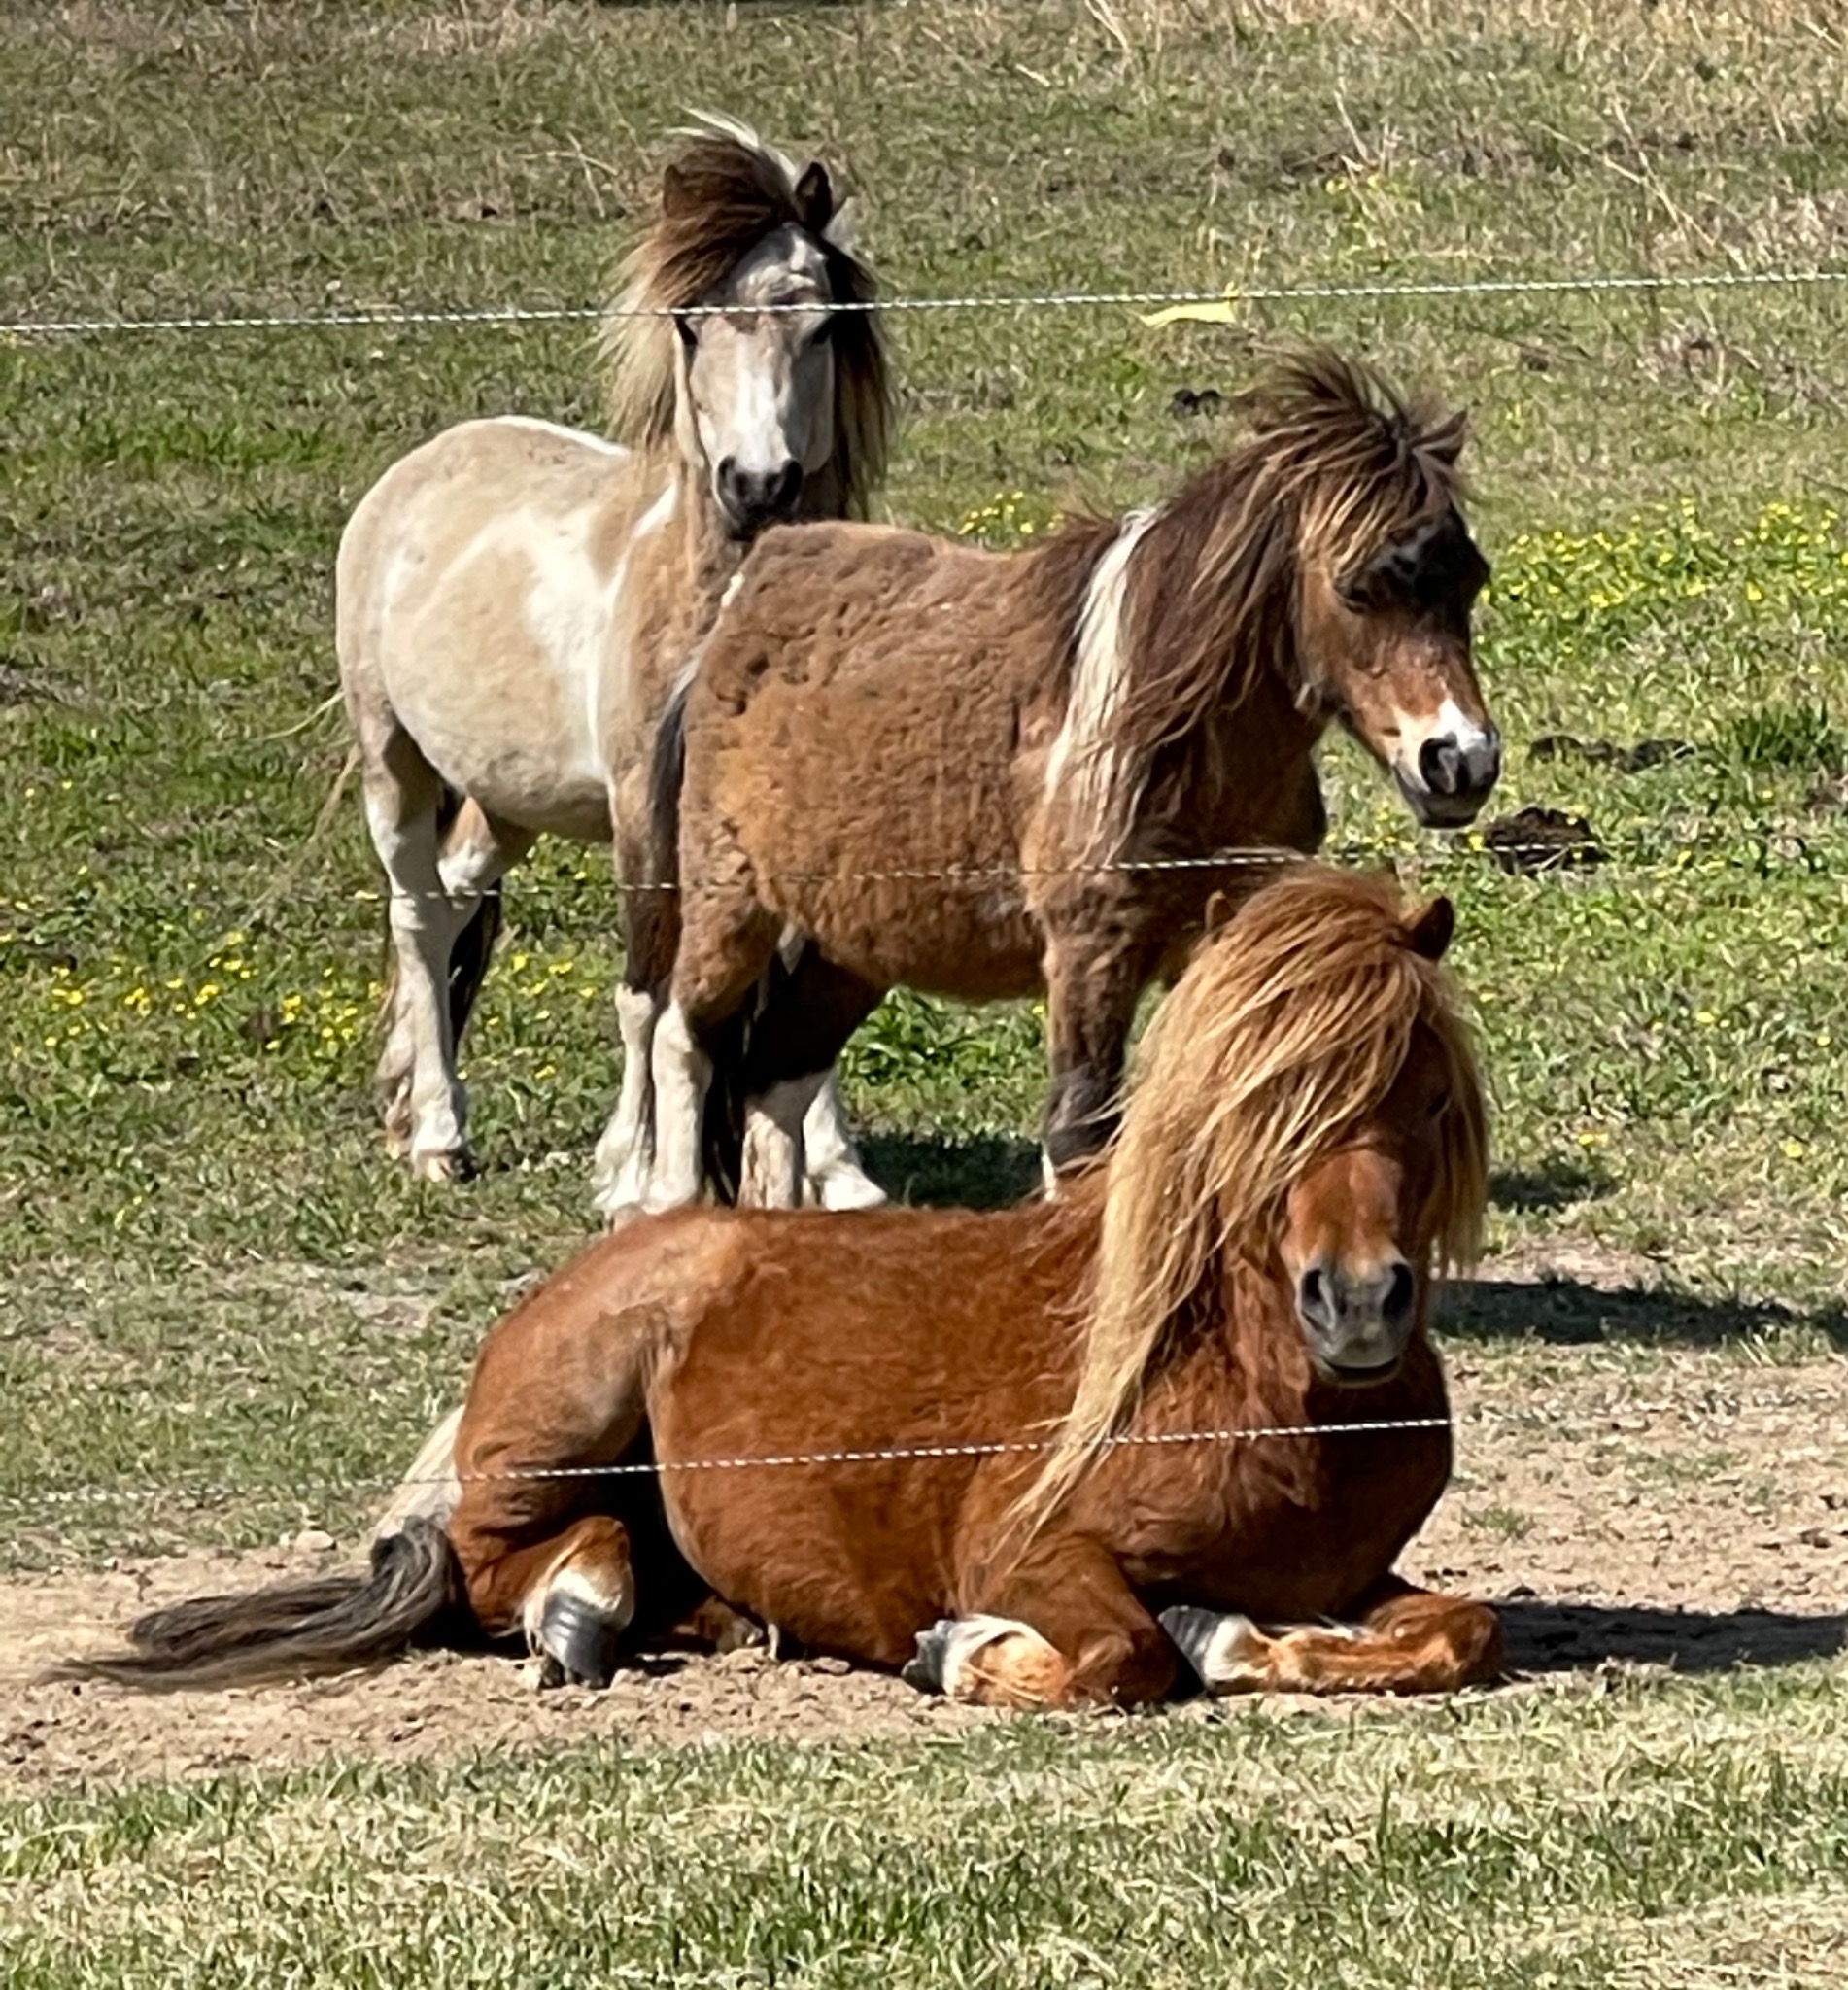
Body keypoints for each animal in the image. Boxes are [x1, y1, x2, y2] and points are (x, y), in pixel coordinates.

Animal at [59, 865, 1503, 1708]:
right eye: (1260, 1106)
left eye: (1420, 1087)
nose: (1357, 1304)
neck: (1262, 1403)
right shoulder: (1027, 1549)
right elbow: (1121, 1656)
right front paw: (962, 1650)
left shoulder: (1359, 1573)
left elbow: (1459, 1627)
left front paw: (1224, 1631)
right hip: (565, 1422)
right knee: (481, 1562)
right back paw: (578, 1612)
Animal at [336, 114, 893, 1211]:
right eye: (691, 325)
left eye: (820, 326)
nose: (757, 485)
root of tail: (418, 470)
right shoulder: (647, 809)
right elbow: (649, 990)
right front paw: (637, 1174)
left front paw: (835, 1172)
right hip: (394, 763)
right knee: (418, 919)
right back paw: (438, 1135)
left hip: (505, 797)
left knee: (455, 903)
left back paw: (405, 1097)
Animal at [638, 347, 1500, 1214]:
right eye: (1357, 587)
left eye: (1470, 580)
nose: (1460, 759)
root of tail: (737, 611)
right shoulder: (1092, 954)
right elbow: (1079, 1137)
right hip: (730, 905)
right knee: (685, 1038)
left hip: (846, 945)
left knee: (775, 1080)